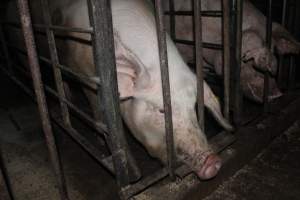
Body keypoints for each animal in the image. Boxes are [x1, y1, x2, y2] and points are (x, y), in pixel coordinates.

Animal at [5, 0, 233, 179]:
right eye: (162, 110)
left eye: (194, 107)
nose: (213, 161)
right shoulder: (87, 76)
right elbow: (103, 119)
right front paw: (133, 173)